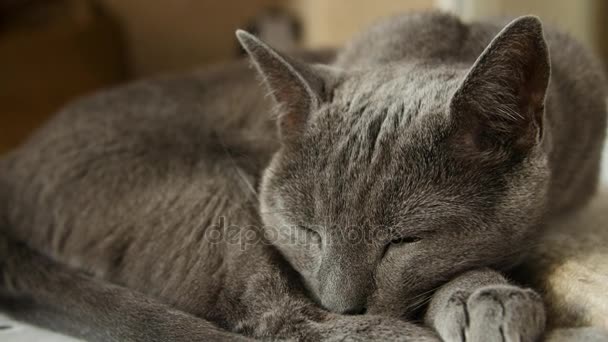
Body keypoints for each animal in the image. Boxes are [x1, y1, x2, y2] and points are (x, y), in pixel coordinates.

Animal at [0, 11, 604, 342]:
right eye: (306, 231)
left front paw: (483, 297)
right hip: (210, 195)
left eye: (406, 240)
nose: (343, 302)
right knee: (276, 317)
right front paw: (483, 298)